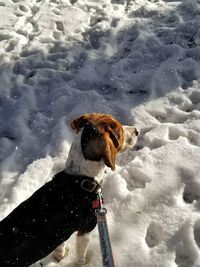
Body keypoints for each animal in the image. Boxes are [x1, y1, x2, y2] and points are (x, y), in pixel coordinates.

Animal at [0, 113, 138, 266]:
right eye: (120, 132)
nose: (137, 131)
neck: (80, 178)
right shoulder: (87, 229)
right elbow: (81, 252)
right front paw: (83, 262)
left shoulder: (61, 234)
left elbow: (60, 245)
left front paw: (60, 255)